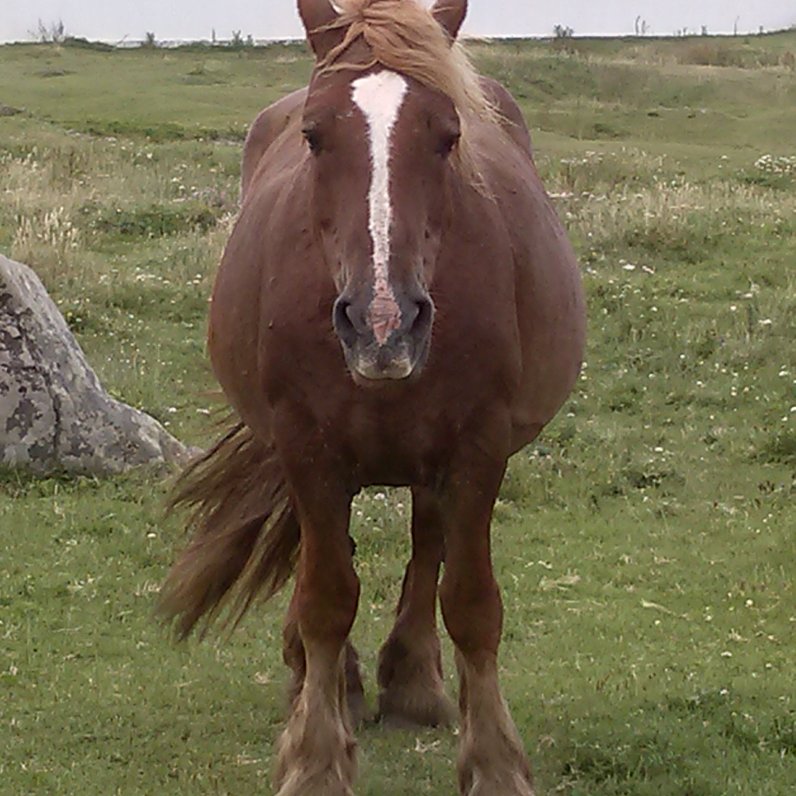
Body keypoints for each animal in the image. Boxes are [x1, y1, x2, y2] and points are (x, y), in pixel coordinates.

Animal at [160, 1, 584, 796]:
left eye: (447, 135)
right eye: (314, 135)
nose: (383, 322)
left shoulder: (478, 446)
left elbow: (471, 602)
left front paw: (494, 762)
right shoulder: (305, 443)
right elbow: (326, 596)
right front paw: (315, 757)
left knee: (427, 543)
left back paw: (413, 682)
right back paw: (329, 683)